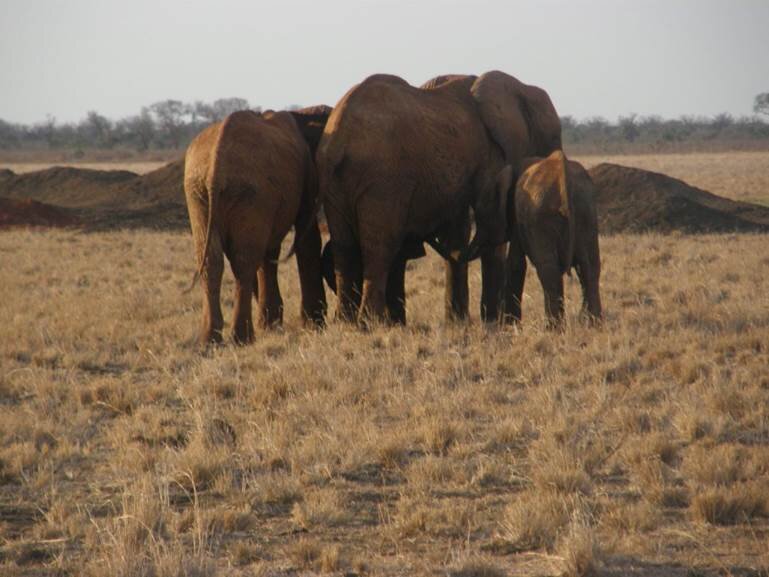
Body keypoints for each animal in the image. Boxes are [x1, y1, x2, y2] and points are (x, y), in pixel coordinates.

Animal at [184, 106, 330, 344]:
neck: (302, 113)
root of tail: (216, 165)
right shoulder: (306, 172)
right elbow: (307, 238)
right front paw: (311, 324)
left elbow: (270, 250)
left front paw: (271, 323)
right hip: (245, 191)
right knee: (244, 260)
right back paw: (241, 338)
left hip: (202, 193)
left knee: (213, 260)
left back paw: (210, 340)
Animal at [317, 72, 562, 325]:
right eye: (555, 136)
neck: (522, 89)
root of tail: (338, 137)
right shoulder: (492, 155)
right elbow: (490, 225)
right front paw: (491, 323)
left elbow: (458, 230)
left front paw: (458, 322)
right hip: (383, 181)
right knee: (379, 248)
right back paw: (369, 324)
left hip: (338, 184)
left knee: (344, 247)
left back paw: (347, 323)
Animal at [511, 150, 602, 327]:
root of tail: (562, 175)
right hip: (586, 209)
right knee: (590, 266)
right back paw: (594, 324)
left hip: (541, 215)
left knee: (548, 269)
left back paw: (553, 328)